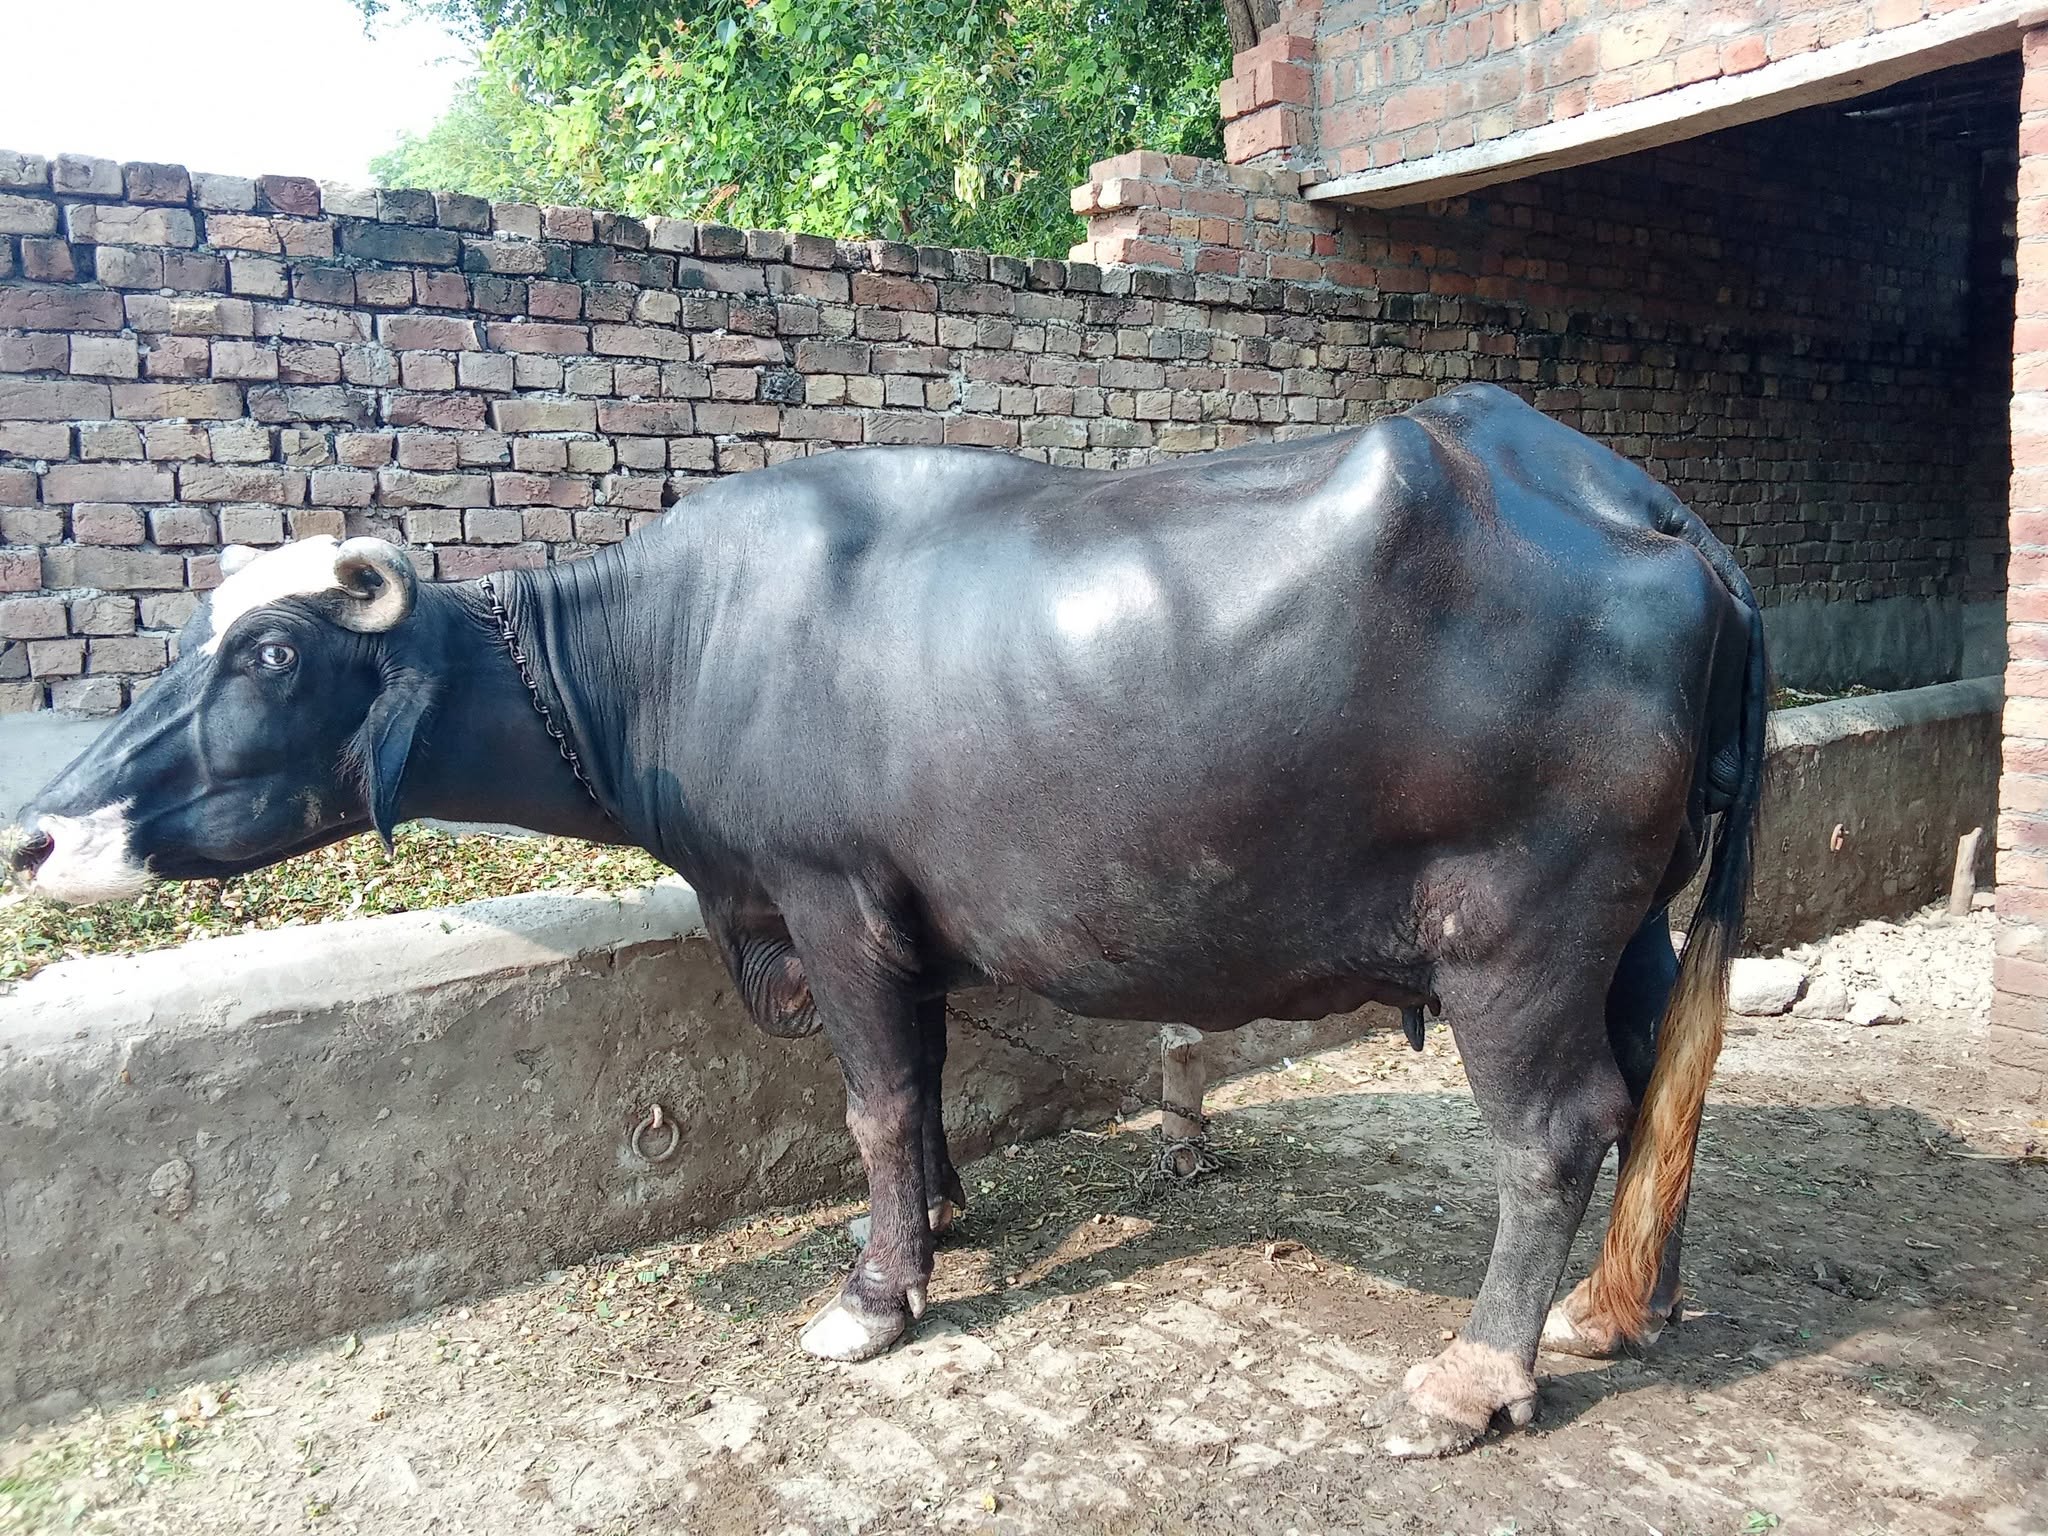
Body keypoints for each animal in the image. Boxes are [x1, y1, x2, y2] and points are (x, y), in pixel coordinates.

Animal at [12, 382, 1763, 1457]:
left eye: (274, 656)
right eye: (200, 634)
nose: (36, 832)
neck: (671, 650)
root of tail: (1647, 509)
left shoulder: (829, 903)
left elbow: (867, 1099)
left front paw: (870, 1295)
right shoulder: (906, 922)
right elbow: (920, 1085)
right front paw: (942, 1225)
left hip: (1515, 931)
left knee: (1557, 1126)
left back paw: (1483, 1369)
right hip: (1631, 923)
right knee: (1660, 1076)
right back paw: (1623, 1305)